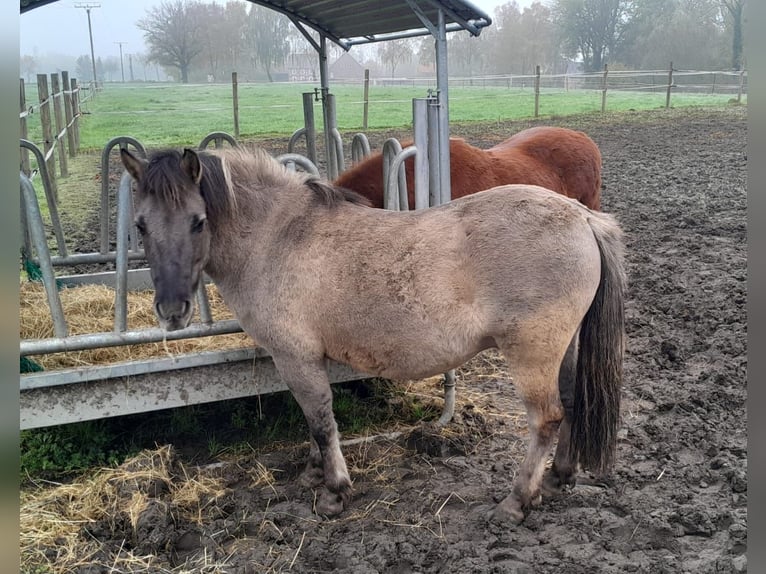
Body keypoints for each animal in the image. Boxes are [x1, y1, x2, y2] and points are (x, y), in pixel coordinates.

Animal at [118, 147, 624, 528]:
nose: (171, 311)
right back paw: (557, 479)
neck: (278, 237)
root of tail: (582, 218)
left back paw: (516, 501)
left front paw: (334, 492)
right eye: (140, 225)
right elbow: (314, 421)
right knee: (572, 403)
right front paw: (314, 473)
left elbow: (321, 422)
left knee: (546, 419)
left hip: (532, 355)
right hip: (562, 348)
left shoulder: (296, 358)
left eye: (198, 220)